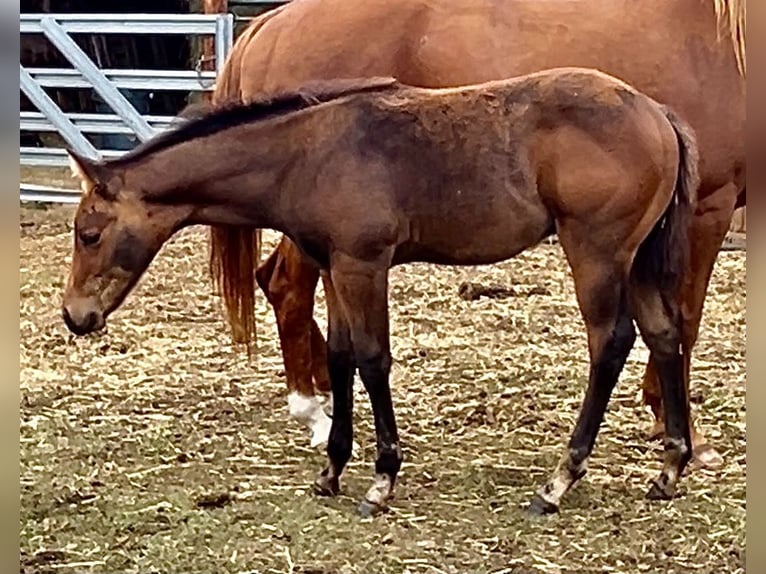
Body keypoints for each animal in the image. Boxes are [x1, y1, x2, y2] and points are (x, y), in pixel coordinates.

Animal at [61, 68, 699, 517]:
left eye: (88, 233)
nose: (75, 315)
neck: (305, 154)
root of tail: (659, 114)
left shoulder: (363, 265)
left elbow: (372, 359)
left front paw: (382, 479)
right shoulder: (335, 267)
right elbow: (341, 356)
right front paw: (331, 470)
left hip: (596, 252)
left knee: (609, 343)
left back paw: (558, 482)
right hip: (637, 260)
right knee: (663, 333)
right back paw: (670, 469)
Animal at [206, 0, 745, 467]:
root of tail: (271, 22)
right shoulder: (708, 207)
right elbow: (687, 319)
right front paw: (687, 434)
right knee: (286, 285)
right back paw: (316, 414)